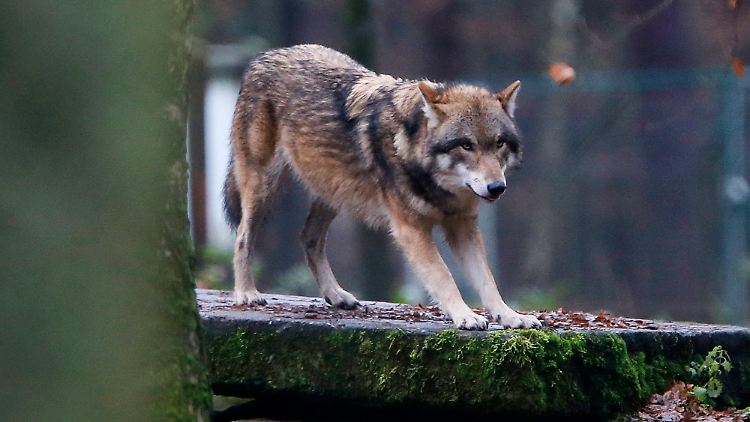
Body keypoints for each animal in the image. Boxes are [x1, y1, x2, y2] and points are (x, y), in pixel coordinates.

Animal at [224, 44, 540, 330]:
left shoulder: (463, 227)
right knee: (242, 238)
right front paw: (465, 315)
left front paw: (511, 316)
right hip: (264, 189)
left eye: (499, 144)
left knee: (308, 239)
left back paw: (336, 295)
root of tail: (265, 56)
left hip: (333, 193)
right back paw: (247, 293)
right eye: (467, 145)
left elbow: (487, 280)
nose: (497, 187)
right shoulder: (411, 229)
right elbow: (444, 276)